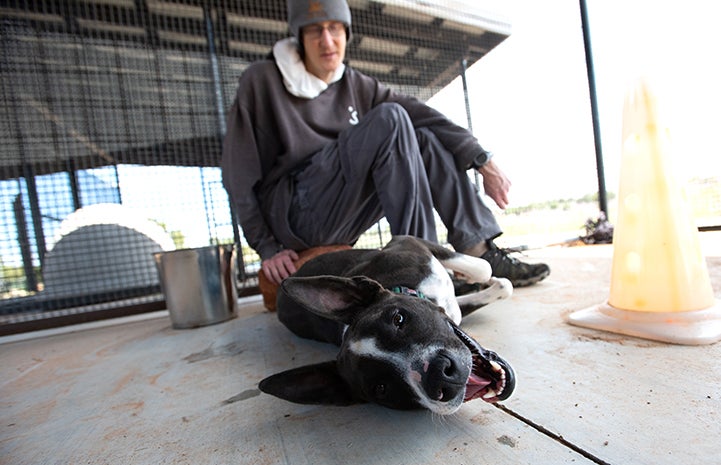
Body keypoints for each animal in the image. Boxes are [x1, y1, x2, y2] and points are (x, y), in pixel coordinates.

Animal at [262, 236, 516, 414]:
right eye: (381, 388)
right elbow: (498, 280)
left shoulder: (407, 240)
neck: (406, 287)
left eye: (398, 318)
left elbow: (487, 270)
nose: (439, 375)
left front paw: (479, 279)